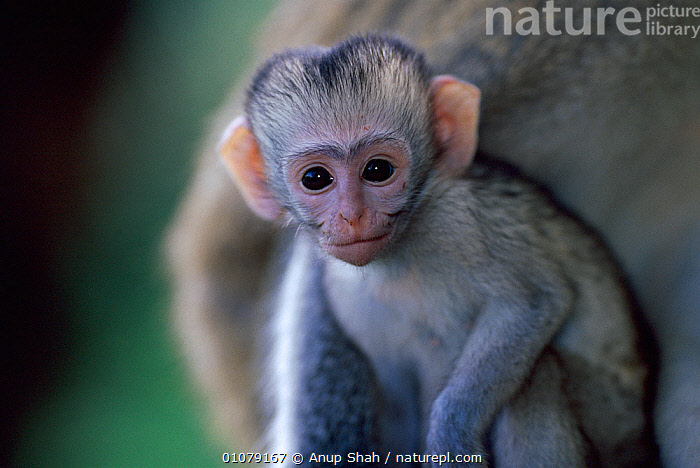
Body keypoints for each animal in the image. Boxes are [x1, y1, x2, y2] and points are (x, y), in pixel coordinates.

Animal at [165, 1, 699, 465]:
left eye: (378, 170)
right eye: (316, 178)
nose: (352, 217)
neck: (401, 258)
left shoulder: (461, 222)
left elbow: (534, 301)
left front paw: (452, 432)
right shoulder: (347, 296)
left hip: (617, 421)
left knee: (538, 378)